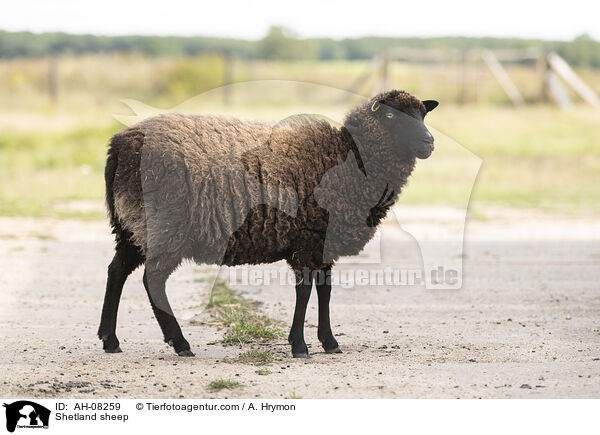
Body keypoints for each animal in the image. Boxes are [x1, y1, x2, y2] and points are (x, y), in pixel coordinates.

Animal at [97, 88, 436, 358]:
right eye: (391, 117)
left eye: (423, 114)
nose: (429, 141)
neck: (348, 158)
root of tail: (119, 146)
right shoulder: (307, 239)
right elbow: (305, 291)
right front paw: (299, 345)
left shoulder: (322, 241)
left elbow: (325, 289)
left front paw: (329, 341)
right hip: (164, 225)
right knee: (152, 280)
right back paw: (179, 342)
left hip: (131, 225)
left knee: (117, 271)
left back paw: (110, 339)